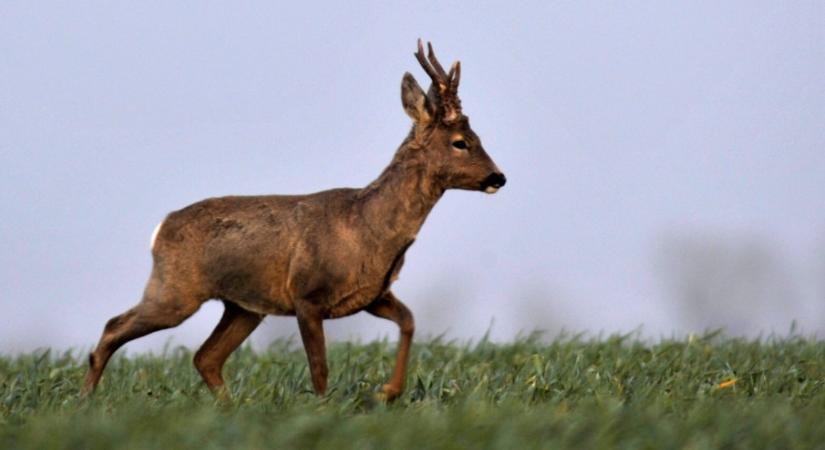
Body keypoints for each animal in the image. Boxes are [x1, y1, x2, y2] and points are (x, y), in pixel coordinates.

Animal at [85, 40, 508, 400]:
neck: (369, 228)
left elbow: (409, 320)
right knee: (114, 327)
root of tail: (159, 228)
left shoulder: (374, 293)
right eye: (460, 142)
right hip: (175, 290)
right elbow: (319, 369)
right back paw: (86, 399)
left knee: (205, 357)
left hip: (243, 307)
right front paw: (327, 410)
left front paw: (388, 392)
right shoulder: (307, 293)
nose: (498, 177)